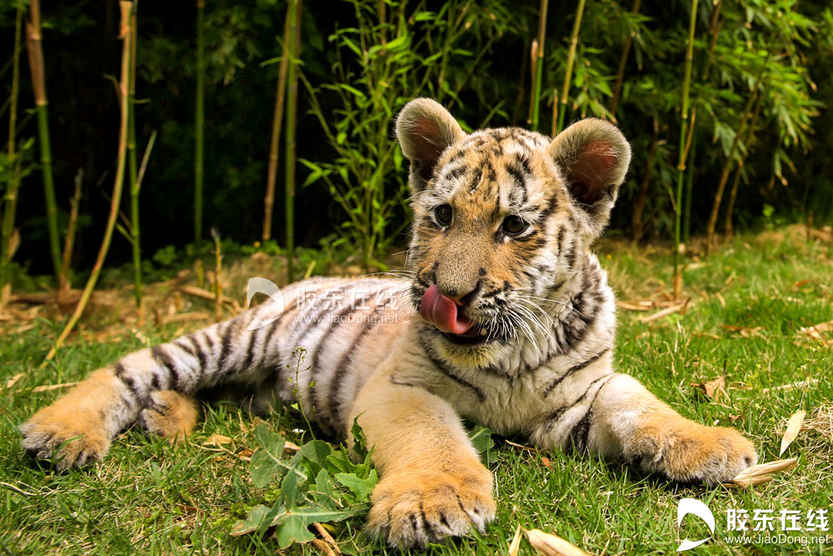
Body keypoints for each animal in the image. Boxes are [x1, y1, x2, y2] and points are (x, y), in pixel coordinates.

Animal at [20, 98, 758, 549]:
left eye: (513, 227)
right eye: (441, 217)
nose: (447, 293)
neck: (513, 347)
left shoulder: (579, 399)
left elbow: (639, 403)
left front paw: (711, 444)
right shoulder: (402, 388)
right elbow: (432, 438)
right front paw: (434, 503)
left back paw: (165, 417)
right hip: (228, 340)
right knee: (130, 370)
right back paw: (63, 434)